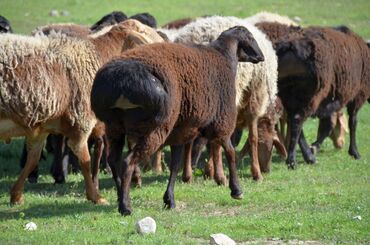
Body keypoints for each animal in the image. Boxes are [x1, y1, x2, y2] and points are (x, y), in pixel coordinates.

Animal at [92, 25, 266, 215]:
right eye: (251, 37)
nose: (261, 57)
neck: (225, 57)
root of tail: (121, 83)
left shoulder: (179, 130)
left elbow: (175, 165)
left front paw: (169, 200)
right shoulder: (221, 122)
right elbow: (230, 152)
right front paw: (236, 190)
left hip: (114, 126)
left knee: (113, 160)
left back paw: (119, 198)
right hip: (155, 127)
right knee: (127, 161)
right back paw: (125, 206)